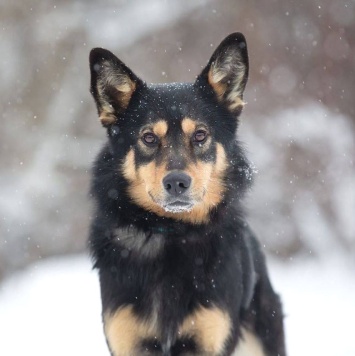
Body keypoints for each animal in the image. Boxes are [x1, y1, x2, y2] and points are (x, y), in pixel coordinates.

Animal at [88, 33, 286, 356]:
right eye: (148, 138)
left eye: (200, 135)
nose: (177, 183)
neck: (172, 233)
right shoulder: (127, 341)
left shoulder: (211, 339)